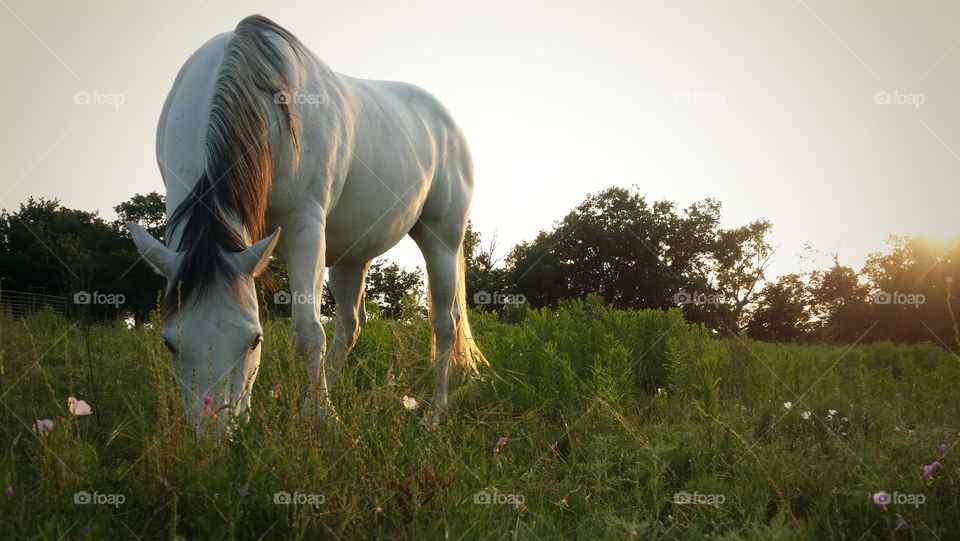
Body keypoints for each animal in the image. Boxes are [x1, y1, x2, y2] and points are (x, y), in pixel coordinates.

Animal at [126, 14, 484, 432]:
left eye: (255, 339)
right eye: (169, 342)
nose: (213, 436)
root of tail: (445, 121)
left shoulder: (304, 226)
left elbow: (309, 332)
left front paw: (324, 422)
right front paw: (319, 412)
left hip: (441, 239)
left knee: (445, 323)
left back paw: (433, 414)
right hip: (350, 255)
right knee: (351, 323)